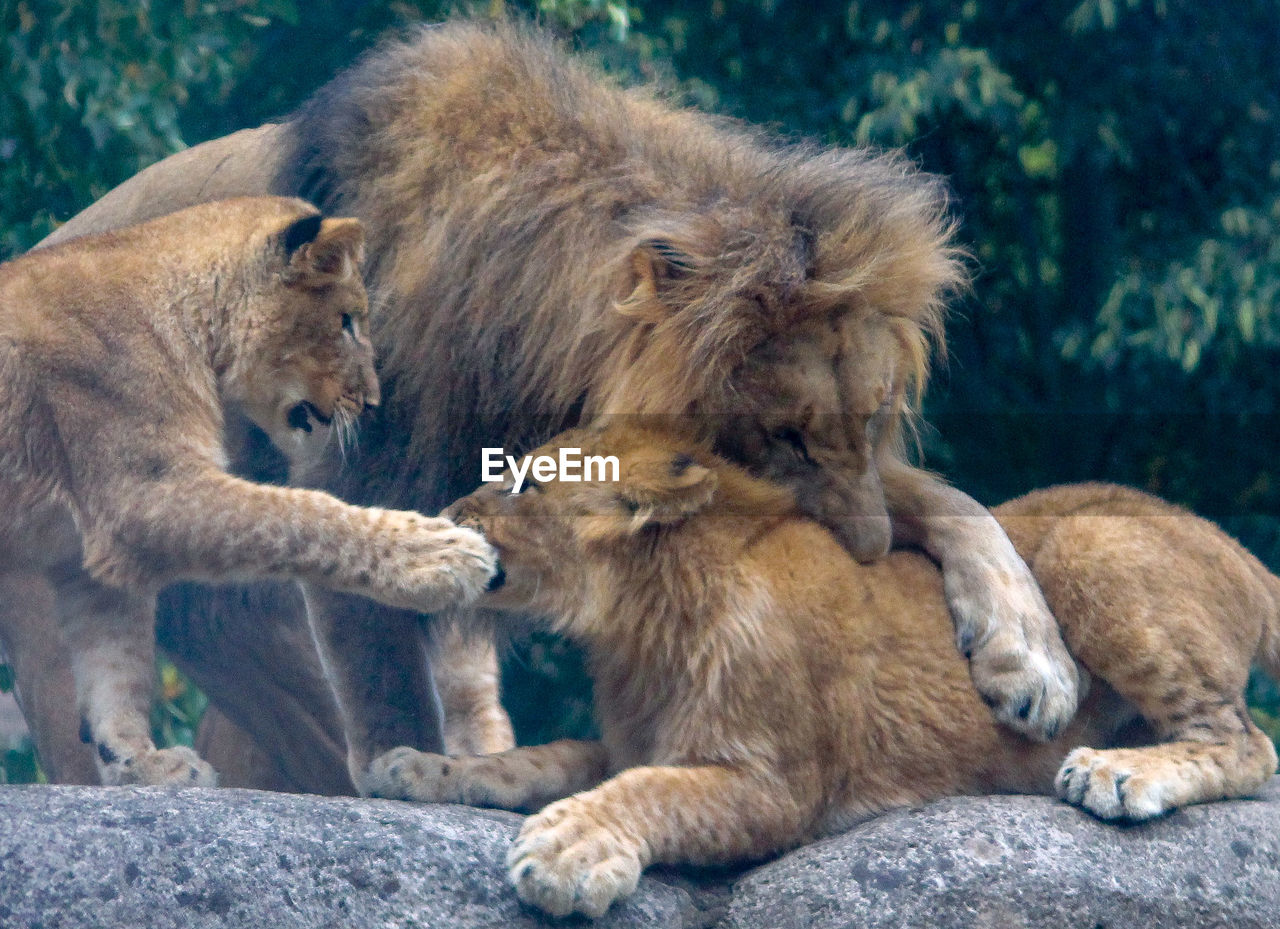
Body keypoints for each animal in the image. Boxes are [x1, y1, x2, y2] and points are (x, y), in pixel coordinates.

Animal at [24, 19, 1075, 793]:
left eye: (872, 420)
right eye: (785, 435)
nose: (866, 557)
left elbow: (945, 496)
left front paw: (1033, 660)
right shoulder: (361, 471)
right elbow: (380, 661)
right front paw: (412, 769)